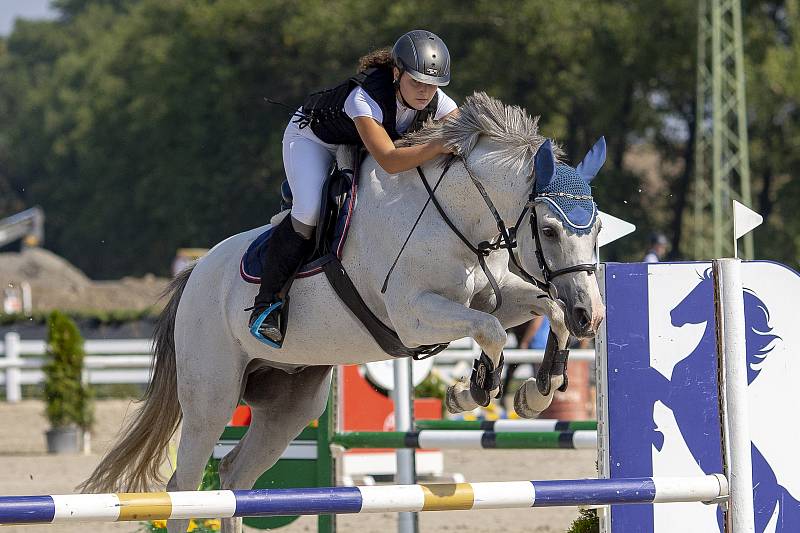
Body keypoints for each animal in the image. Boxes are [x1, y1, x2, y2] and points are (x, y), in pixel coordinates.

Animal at [81, 92, 608, 532]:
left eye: (598, 227)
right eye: (549, 229)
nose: (593, 316)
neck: (456, 218)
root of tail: (196, 273)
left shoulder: (497, 296)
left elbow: (541, 312)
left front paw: (537, 392)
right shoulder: (413, 316)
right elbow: (492, 332)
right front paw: (471, 391)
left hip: (291, 404)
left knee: (234, 479)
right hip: (211, 396)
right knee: (184, 489)